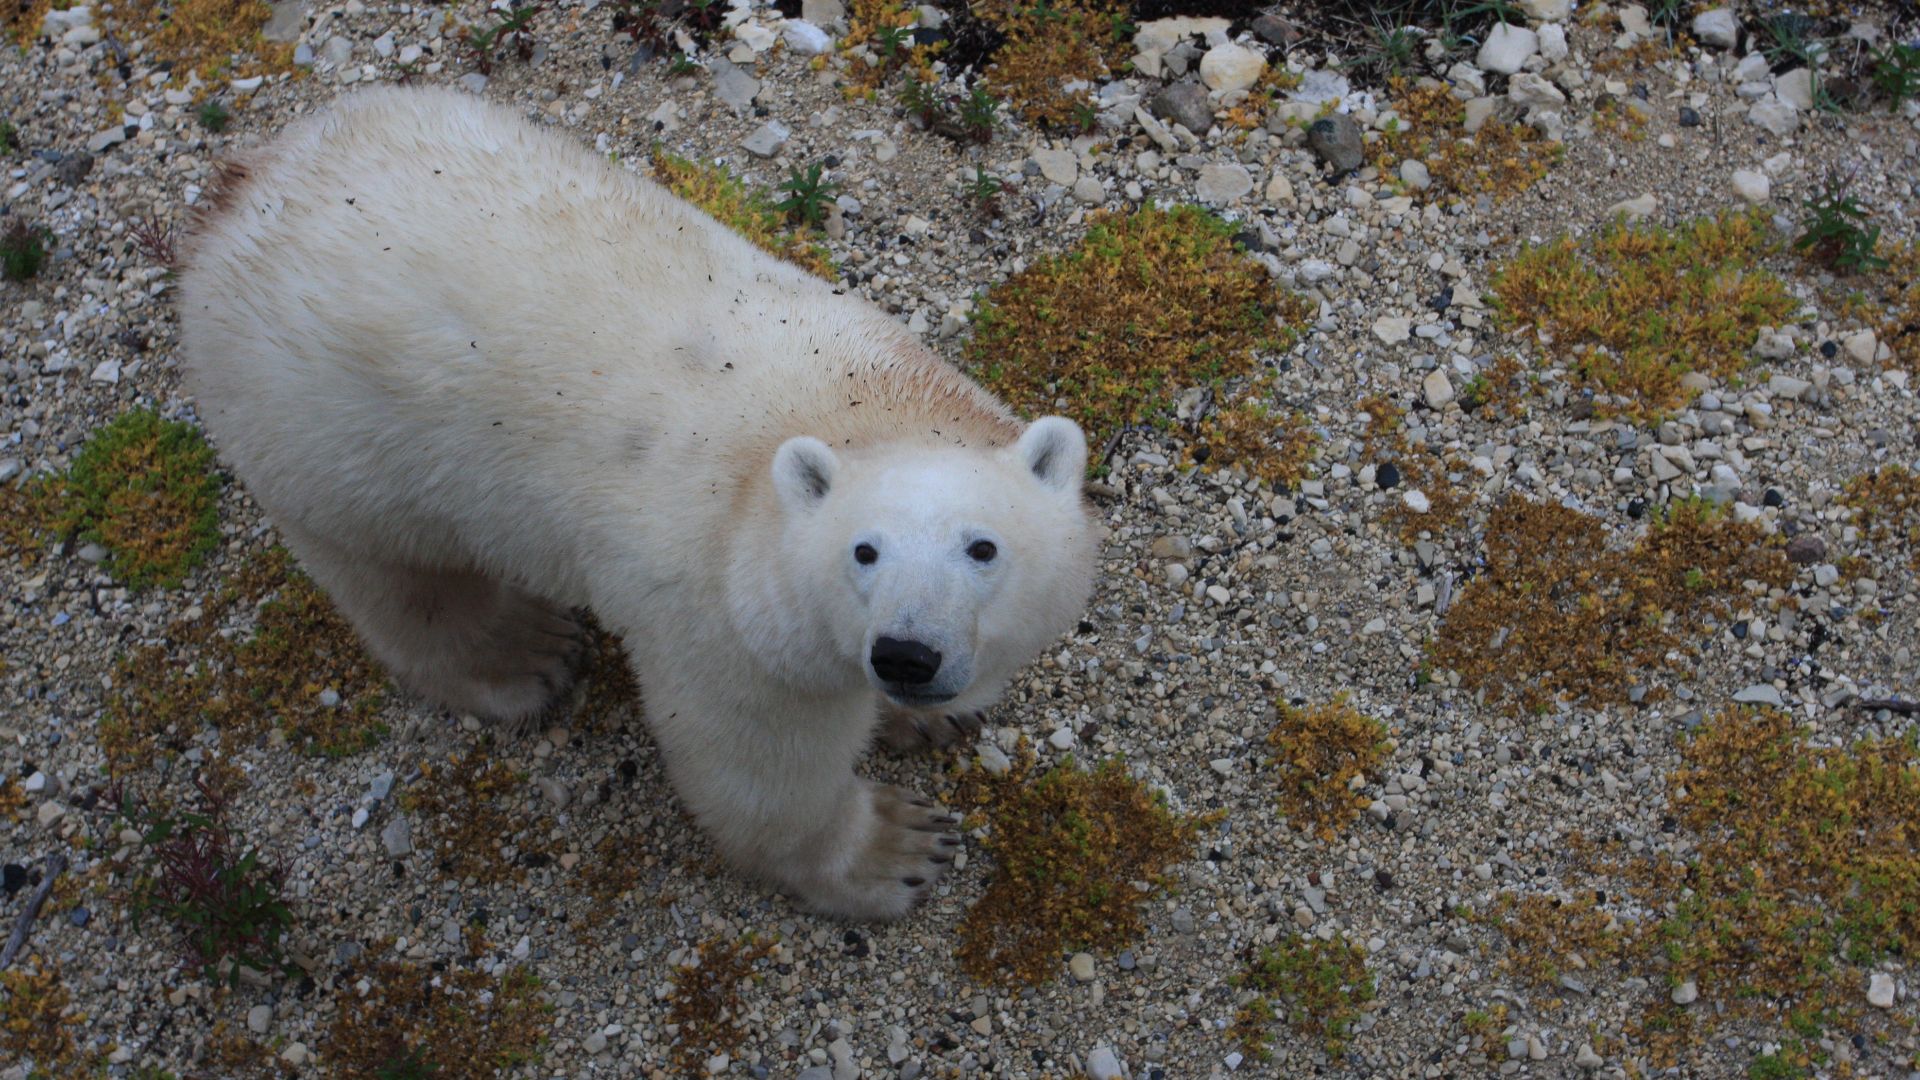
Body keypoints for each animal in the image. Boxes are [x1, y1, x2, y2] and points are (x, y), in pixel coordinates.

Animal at [175, 86, 1100, 920]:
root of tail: (236, 190)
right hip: (329, 438)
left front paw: (934, 719)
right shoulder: (720, 618)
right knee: (402, 579)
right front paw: (894, 850)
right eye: (862, 552)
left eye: (983, 548)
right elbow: (758, 767)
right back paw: (527, 652)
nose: (906, 655)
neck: (858, 407)